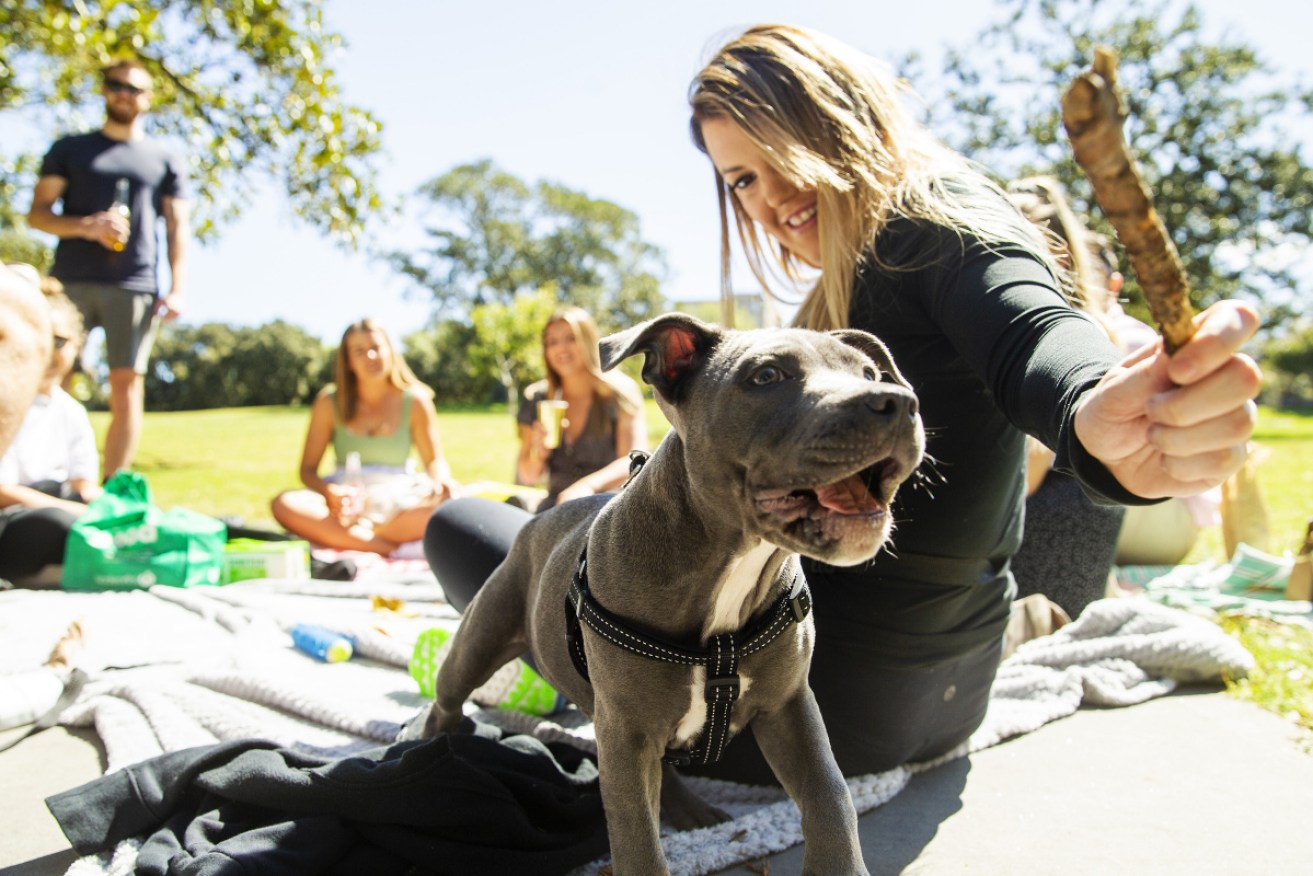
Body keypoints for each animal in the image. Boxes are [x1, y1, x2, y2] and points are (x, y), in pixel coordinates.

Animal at [407, 315, 924, 876]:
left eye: (871, 372)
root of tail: (541, 515)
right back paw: (429, 746)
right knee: (448, 700)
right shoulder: (625, 733)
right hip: (481, 641)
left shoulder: (788, 706)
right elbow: (637, 840)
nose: (898, 401)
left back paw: (691, 811)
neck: (732, 564)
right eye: (766, 376)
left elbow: (831, 794)